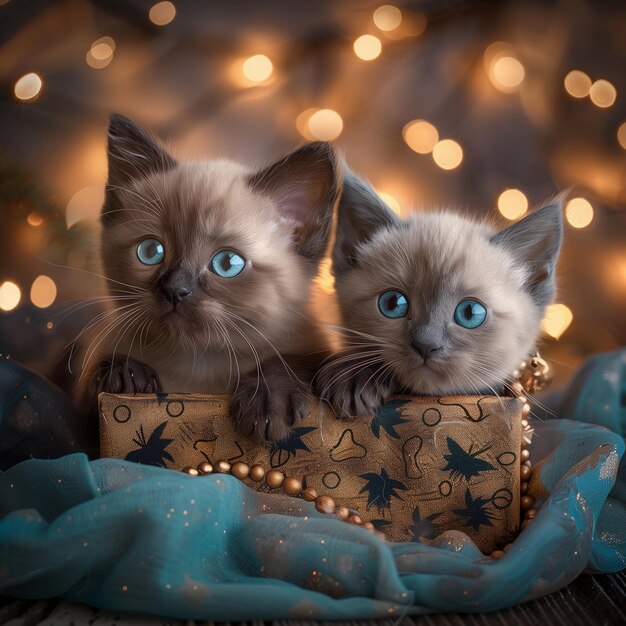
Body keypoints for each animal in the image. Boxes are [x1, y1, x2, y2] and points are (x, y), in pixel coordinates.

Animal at [78, 114, 336, 442]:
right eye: (151, 251)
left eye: (227, 264)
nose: (175, 290)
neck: (200, 367)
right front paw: (124, 375)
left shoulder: (313, 348)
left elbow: (287, 361)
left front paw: (269, 403)